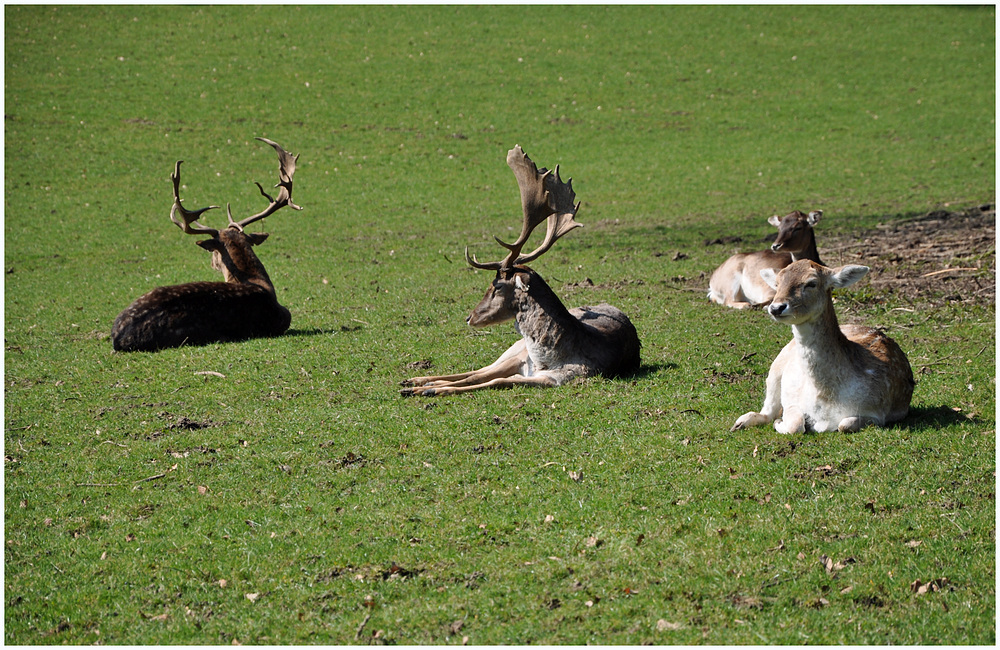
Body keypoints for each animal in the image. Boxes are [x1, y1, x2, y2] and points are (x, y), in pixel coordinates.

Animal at [398, 143, 640, 394]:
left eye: (496, 286)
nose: (469, 317)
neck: (545, 360)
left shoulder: (558, 377)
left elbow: (495, 381)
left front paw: (430, 389)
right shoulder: (521, 358)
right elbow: (477, 376)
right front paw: (424, 386)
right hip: (515, 348)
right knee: (481, 368)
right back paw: (415, 379)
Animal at [728, 256, 916, 430]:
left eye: (811, 283)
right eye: (777, 283)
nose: (776, 308)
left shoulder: (877, 412)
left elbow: (844, 424)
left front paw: (781, 423)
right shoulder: (791, 398)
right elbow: (795, 423)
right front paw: (780, 422)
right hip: (777, 364)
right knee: (768, 408)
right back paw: (740, 422)